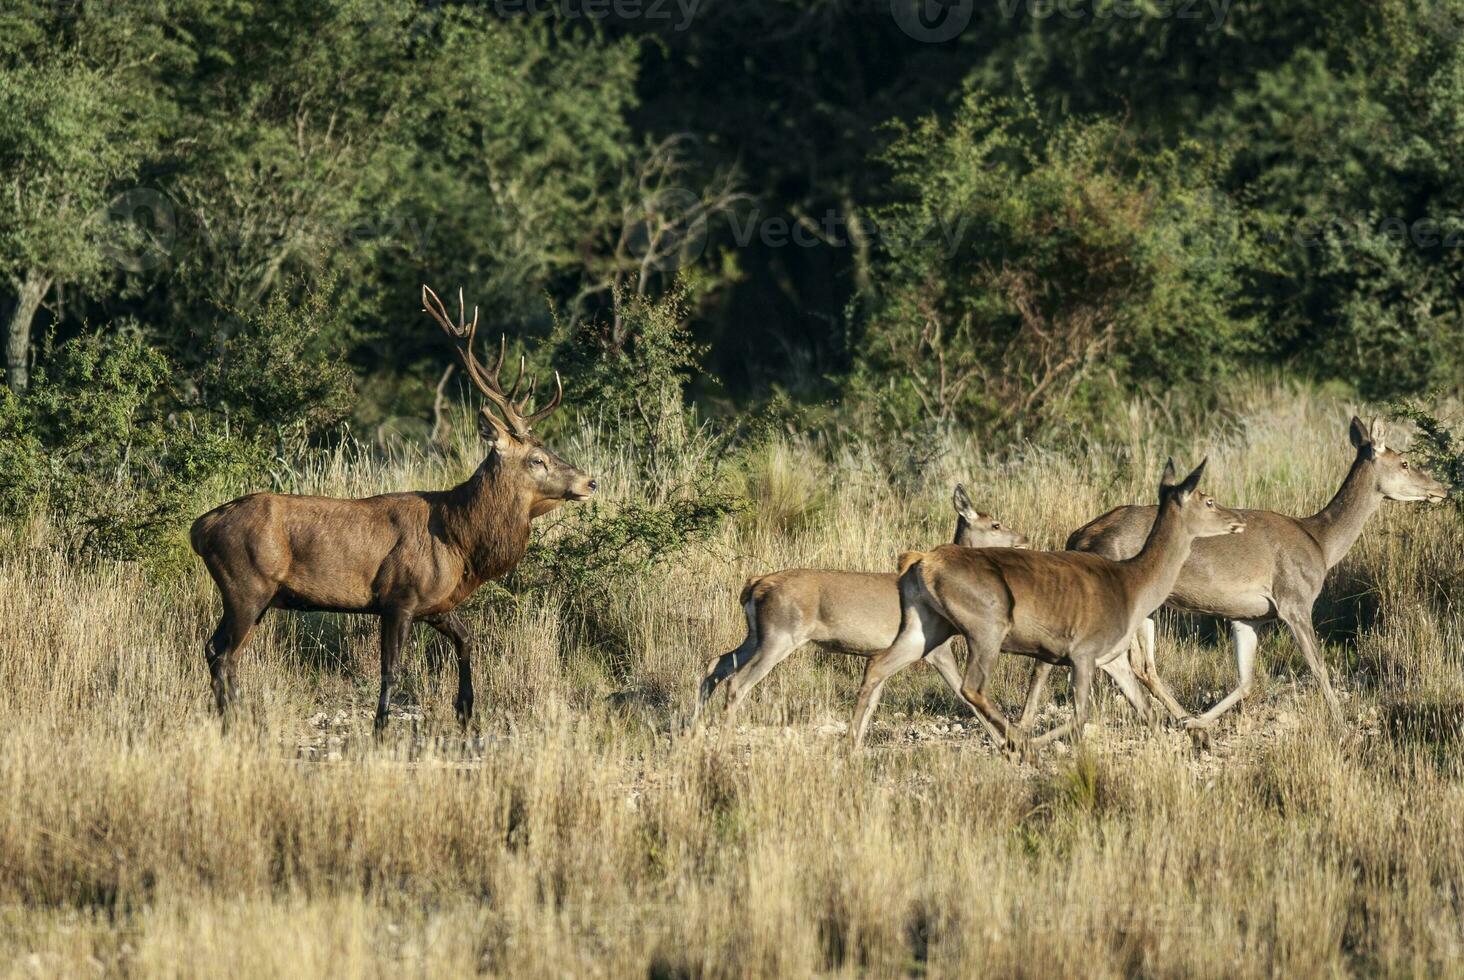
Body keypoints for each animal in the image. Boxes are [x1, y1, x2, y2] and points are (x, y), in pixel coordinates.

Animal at [190, 282, 594, 726]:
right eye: (537, 459)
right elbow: (392, 670)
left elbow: (468, 640)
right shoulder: (399, 595)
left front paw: (466, 710)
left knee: (216, 650)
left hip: (255, 593)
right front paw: (382, 727)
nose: (589, 481)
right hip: (246, 584)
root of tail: (199, 529)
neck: (459, 541)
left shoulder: (435, 603)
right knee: (222, 653)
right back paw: (234, 721)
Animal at [693, 486, 1030, 726]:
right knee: (737, 681)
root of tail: (755, 584)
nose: (1024, 537)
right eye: (995, 524)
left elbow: (873, 701)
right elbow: (964, 693)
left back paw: (693, 729)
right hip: (780, 634)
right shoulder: (936, 647)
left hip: (756, 634)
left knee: (716, 663)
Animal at [849, 459, 1247, 755]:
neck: (1133, 584)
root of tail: (920, 563)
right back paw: (1019, 745)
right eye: (1208, 500)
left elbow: (1145, 710)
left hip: (925, 627)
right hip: (987, 628)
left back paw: (851, 746)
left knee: (878, 665)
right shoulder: (1083, 654)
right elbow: (1082, 715)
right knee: (971, 686)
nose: (1238, 521)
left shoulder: (1112, 658)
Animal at [1036, 416, 1446, 732]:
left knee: (1143, 665)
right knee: (1133, 663)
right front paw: (1344, 725)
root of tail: (1079, 536)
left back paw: (1186, 720)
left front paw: (1201, 720)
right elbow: (1318, 667)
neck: (1321, 543)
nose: (1440, 488)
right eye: (1405, 462)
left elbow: (1246, 680)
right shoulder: (1294, 599)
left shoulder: (1249, 617)